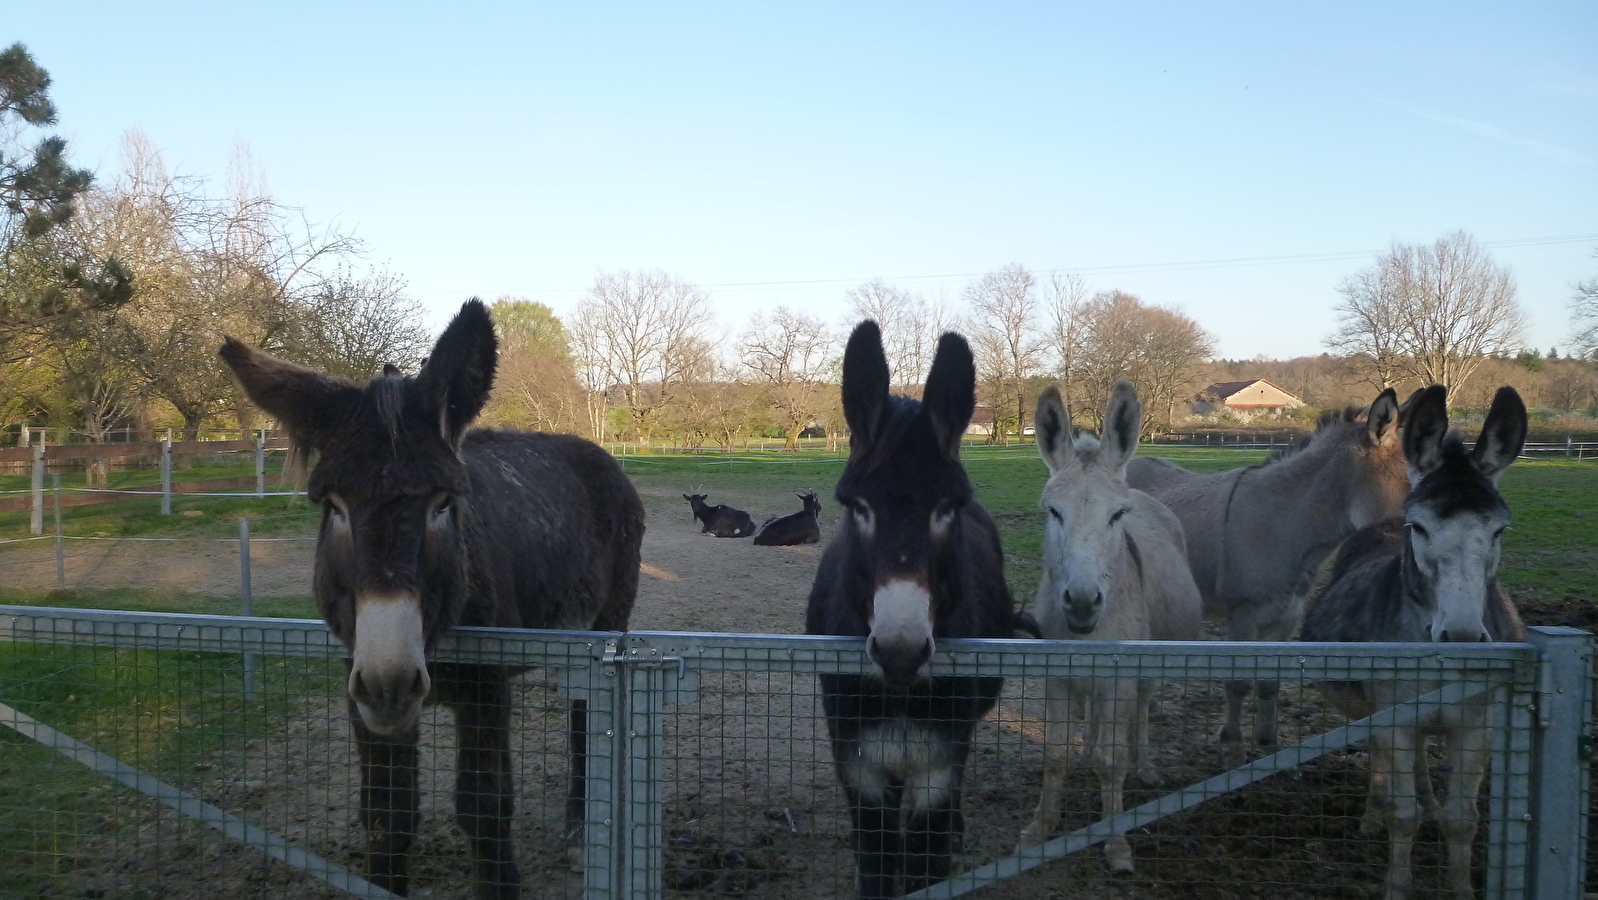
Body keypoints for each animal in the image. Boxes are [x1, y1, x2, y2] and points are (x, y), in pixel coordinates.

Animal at [220, 299, 644, 899]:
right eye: (334, 507)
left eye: (443, 504)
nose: (391, 680)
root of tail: (592, 450)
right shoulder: (359, 688)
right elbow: (388, 814)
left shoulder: (488, 687)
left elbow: (484, 808)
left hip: (605, 625)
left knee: (586, 719)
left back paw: (581, 833)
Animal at [805, 321, 1015, 899]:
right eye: (857, 508)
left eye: (947, 509)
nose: (900, 651)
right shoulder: (859, 768)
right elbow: (877, 868)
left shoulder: (937, 771)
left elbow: (925, 868)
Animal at [1017, 381, 1203, 873]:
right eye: (1053, 512)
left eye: (1116, 515)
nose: (1082, 602)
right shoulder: (1058, 677)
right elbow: (1055, 755)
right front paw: (1039, 828)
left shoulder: (1119, 677)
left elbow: (1114, 762)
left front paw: (1116, 842)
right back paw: (1087, 752)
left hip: (1145, 668)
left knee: (1140, 710)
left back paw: (1146, 767)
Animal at [1124, 388, 1409, 757]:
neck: (1284, 522)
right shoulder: (1243, 614)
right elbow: (1239, 681)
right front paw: (1231, 739)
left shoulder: (1287, 616)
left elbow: (1270, 684)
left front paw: (1267, 741)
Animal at [1300, 384, 1526, 900]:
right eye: (1419, 527)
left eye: (1498, 530)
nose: (1461, 636)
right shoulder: (1396, 719)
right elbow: (1404, 816)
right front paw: (1397, 884)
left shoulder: (1477, 728)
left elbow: (1462, 820)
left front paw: (1460, 887)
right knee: (1381, 759)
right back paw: (1372, 814)